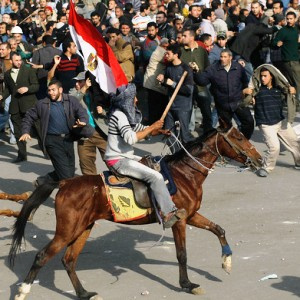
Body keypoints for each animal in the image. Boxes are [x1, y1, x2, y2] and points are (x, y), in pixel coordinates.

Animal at [8, 123, 262, 300]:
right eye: (239, 137)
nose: (259, 158)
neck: (184, 174)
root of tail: (64, 182)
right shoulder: (178, 220)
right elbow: (182, 254)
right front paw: (188, 284)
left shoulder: (189, 215)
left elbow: (218, 229)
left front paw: (226, 262)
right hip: (67, 230)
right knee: (42, 256)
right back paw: (23, 290)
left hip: (83, 228)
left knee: (69, 260)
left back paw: (83, 293)